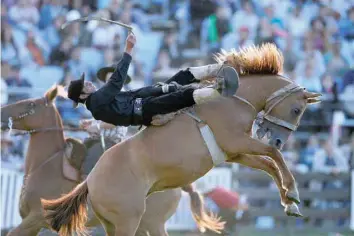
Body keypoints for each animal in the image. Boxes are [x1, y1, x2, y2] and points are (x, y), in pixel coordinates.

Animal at [41, 44, 320, 236]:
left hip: (112, 223)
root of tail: (89, 182)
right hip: (128, 221)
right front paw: (293, 193)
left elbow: (269, 164)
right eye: (297, 110)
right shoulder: (237, 142)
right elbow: (274, 157)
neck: (232, 101)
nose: (278, 140)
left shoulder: (234, 153)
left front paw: (290, 204)